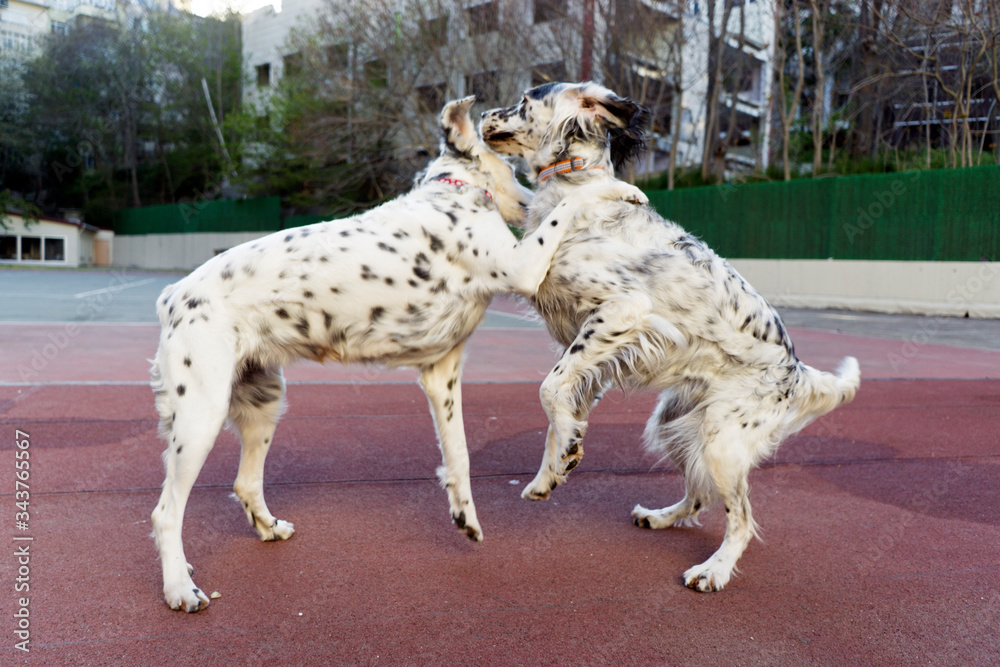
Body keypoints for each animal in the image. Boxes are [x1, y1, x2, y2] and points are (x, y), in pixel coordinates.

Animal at [150, 96, 648, 612]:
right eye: (512, 169)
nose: (530, 199)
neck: (450, 195)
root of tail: (172, 296)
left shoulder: (441, 373)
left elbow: (459, 455)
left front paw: (465, 517)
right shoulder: (522, 265)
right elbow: (572, 201)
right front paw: (624, 190)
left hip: (264, 402)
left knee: (245, 484)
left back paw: (266, 530)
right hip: (201, 416)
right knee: (166, 511)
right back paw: (179, 588)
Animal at [480, 81, 856, 592]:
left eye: (523, 101)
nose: (481, 114)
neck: (576, 190)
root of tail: (795, 370)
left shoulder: (621, 310)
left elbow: (549, 388)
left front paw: (562, 458)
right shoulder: (588, 349)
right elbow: (561, 408)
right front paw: (553, 470)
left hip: (721, 440)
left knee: (741, 518)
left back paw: (713, 570)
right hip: (673, 423)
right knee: (699, 496)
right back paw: (658, 517)